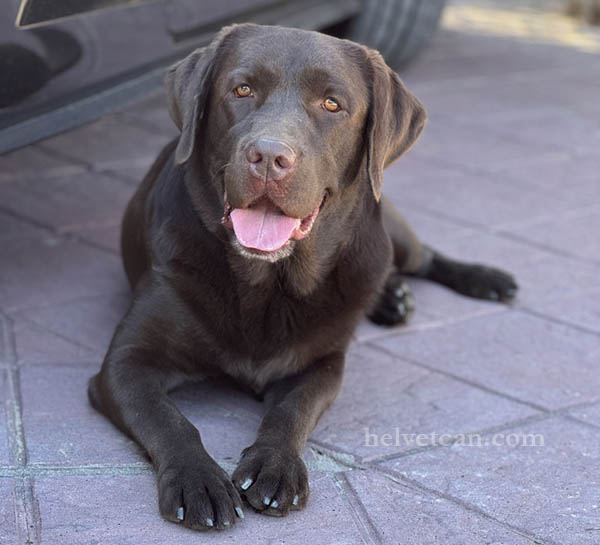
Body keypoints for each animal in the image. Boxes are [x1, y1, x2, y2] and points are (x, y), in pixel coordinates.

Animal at [88, 23, 517, 530]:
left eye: (331, 104)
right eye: (242, 90)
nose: (269, 156)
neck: (267, 283)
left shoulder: (324, 363)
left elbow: (293, 410)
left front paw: (275, 467)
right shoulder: (125, 364)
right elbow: (169, 419)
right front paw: (199, 481)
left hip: (390, 234)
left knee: (424, 255)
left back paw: (484, 279)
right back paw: (395, 297)